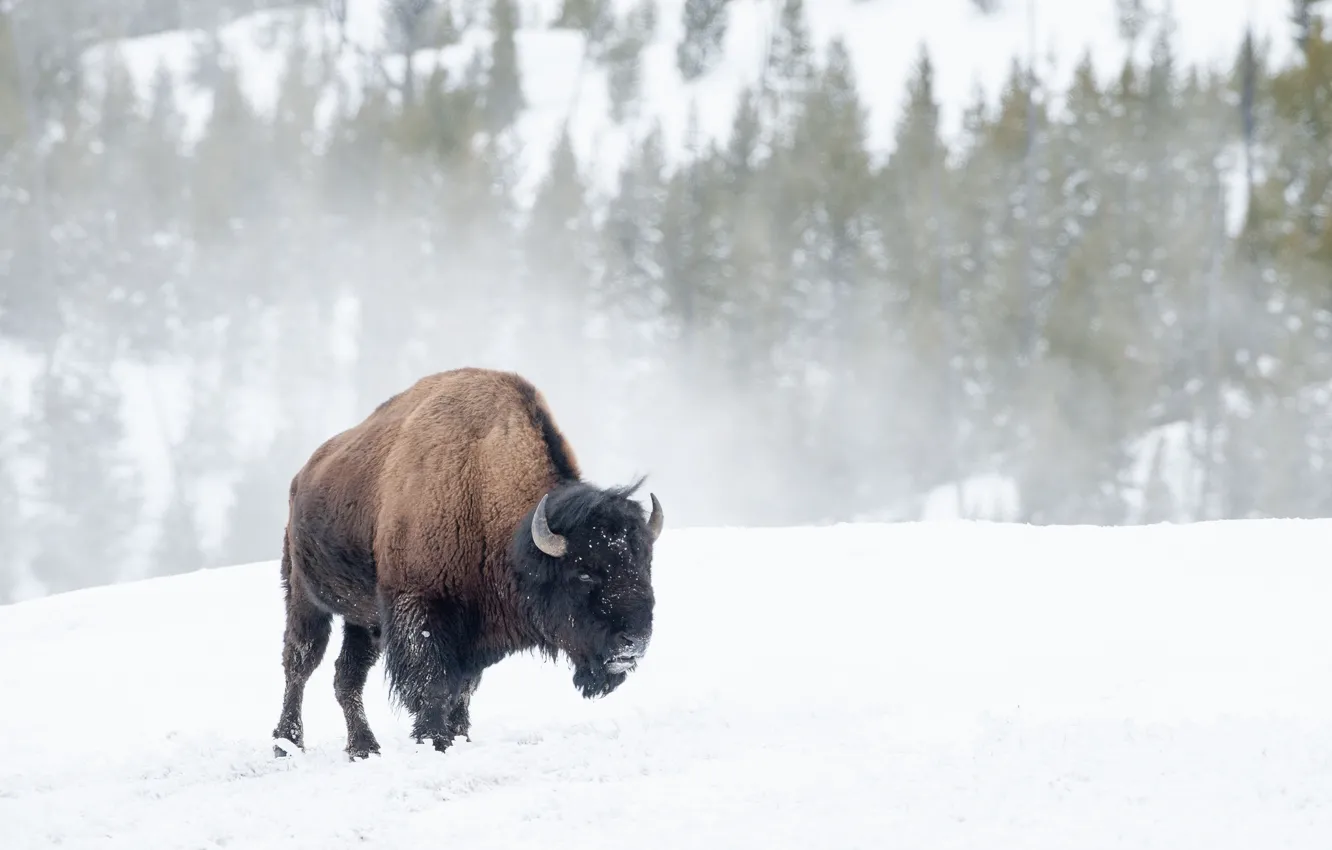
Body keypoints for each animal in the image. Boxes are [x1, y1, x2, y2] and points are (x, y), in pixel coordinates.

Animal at [270, 367, 663, 759]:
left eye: (644, 564)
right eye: (583, 573)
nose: (634, 642)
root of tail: (301, 477)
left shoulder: (475, 632)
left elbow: (463, 688)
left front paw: (459, 735)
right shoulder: (421, 608)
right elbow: (433, 684)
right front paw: (434, 740)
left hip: (362, 620)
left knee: (346, 675)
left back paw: (363, 748)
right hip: (305, 598)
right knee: (299, 663)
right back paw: (287, 744)